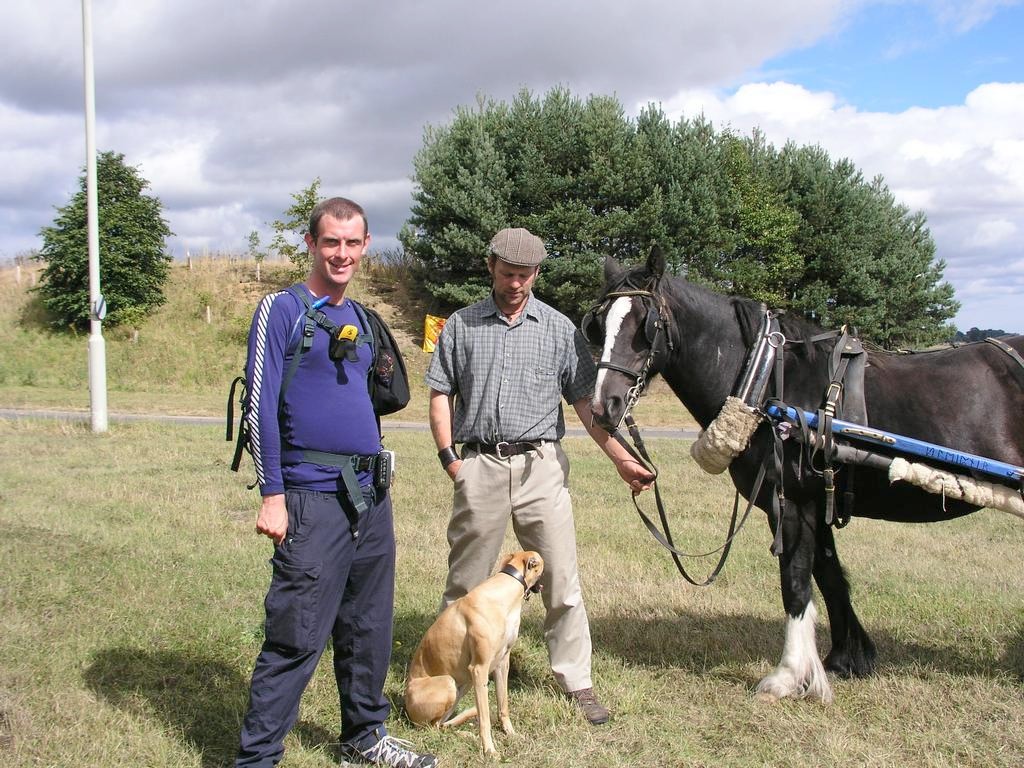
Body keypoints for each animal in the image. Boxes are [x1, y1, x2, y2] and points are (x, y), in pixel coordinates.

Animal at [403, 552, 544, 757]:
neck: (504, 590)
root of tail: (407, 708)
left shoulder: (502, 664)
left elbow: (503, 705)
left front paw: (511, 733)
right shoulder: (479, 669)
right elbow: (485, 719)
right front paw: (490, 750)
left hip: (464, 685)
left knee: (442, 725)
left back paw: (465, 733)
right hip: (449, 683)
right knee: (432, 727)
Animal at [585, 249, 1024, 708]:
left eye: (645, 325)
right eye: (599, 323)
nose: (602, 406)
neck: (768, 382)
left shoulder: (791, 503)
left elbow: (796, 583)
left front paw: (790, 675)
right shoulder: (817, 499)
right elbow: (829, 576)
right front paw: (848, 659)